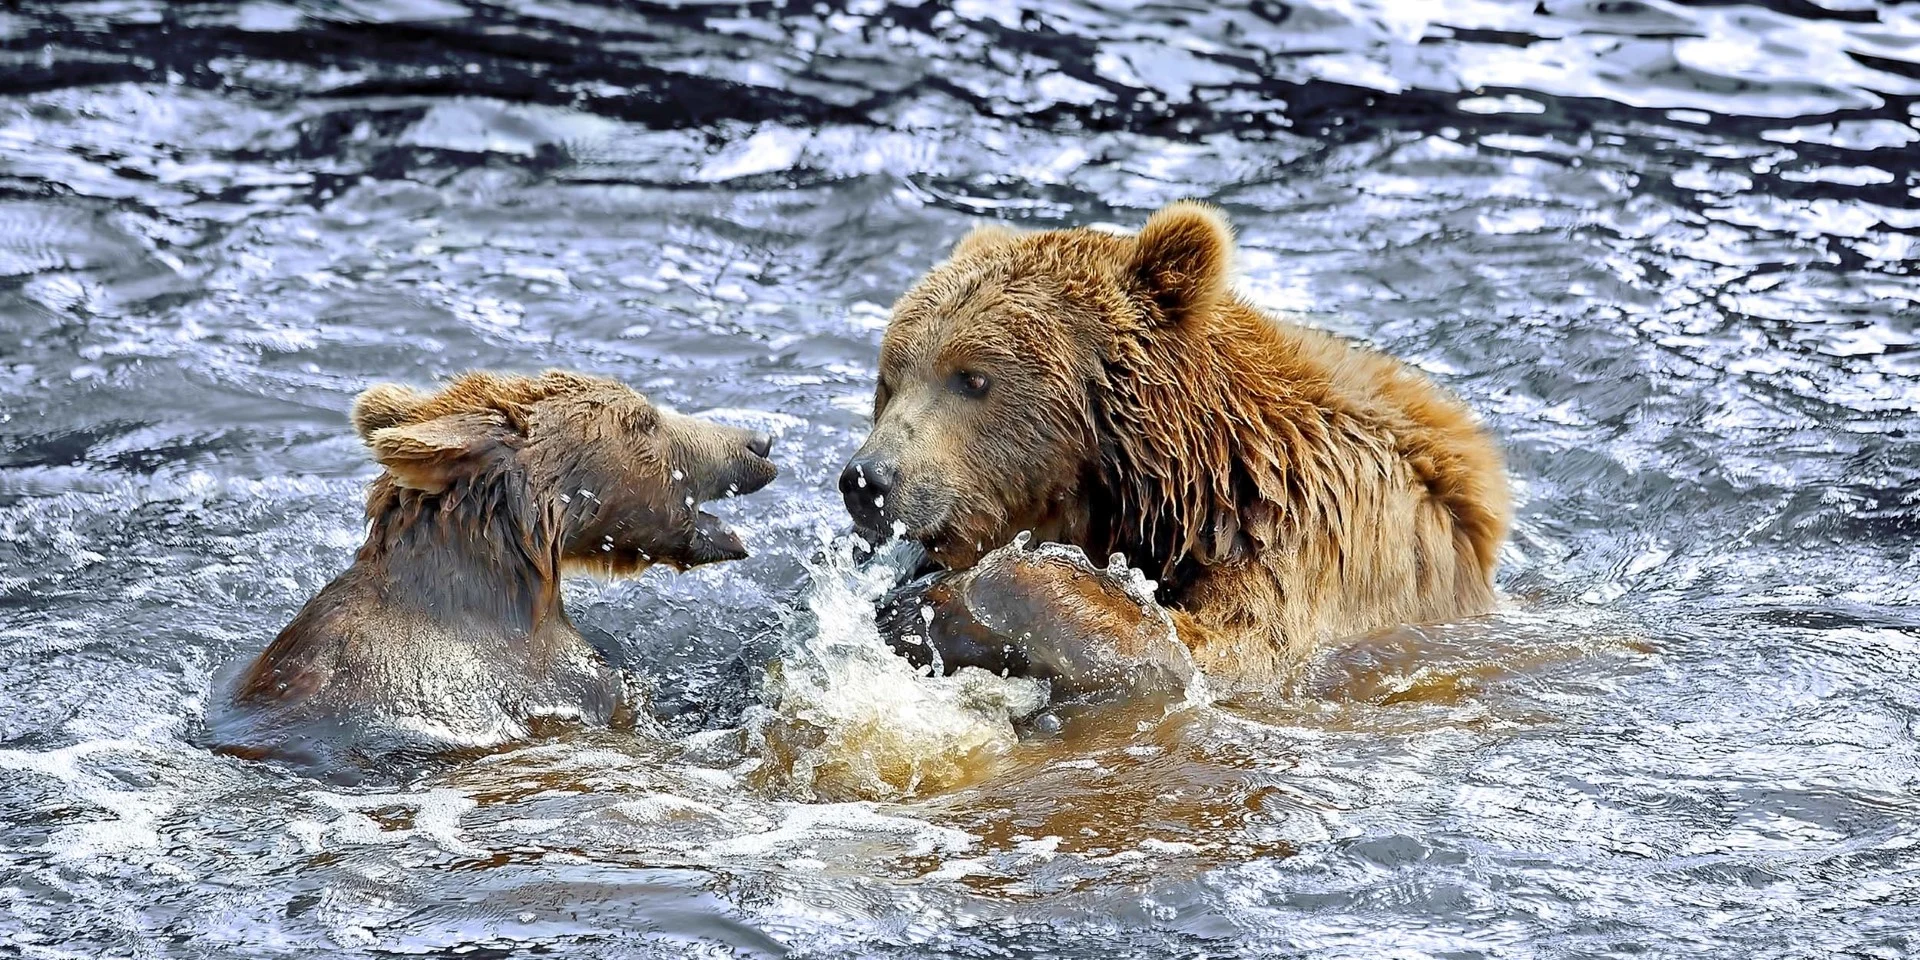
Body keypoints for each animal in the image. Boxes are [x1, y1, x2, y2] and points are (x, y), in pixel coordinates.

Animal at [840, 202, 1512, 695]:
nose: (868, 480)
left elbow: (1211, 652)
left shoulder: (1298, 537)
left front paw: (946, 601)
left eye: (972, 378)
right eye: (889, 379)